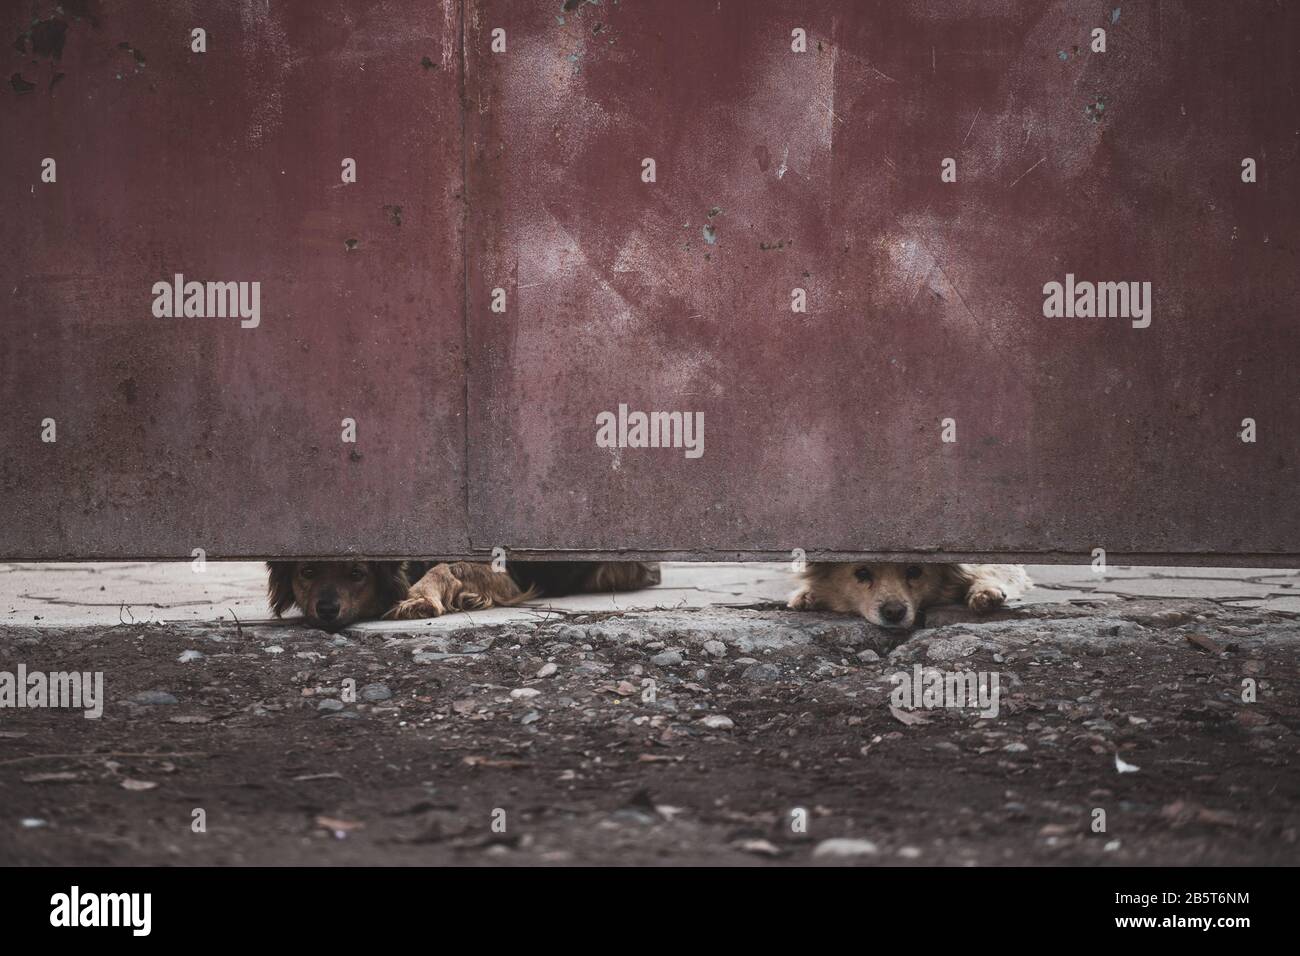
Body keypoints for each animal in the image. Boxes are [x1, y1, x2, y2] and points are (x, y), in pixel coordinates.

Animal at [785, 564, 1029, 632]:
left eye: (914, 571)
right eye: (862, 573)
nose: (894, 613)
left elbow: (990, 570)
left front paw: (985, 591)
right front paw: (807, 595)